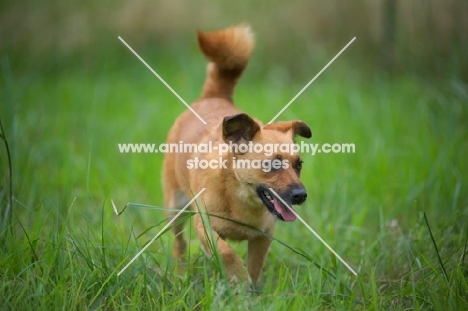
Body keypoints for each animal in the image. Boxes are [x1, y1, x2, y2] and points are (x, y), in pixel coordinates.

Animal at [163, 25, 312, 286]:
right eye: (272, 165)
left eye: (299, 165)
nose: (301, 195)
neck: (241, 199)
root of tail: (212, 97)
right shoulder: (205, 227)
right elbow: (226, 253)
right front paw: (238, 278)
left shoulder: (263, 237)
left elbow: (254, 267)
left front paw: (249, 288)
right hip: (175, 208)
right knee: (179, 244)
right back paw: (180, 275)